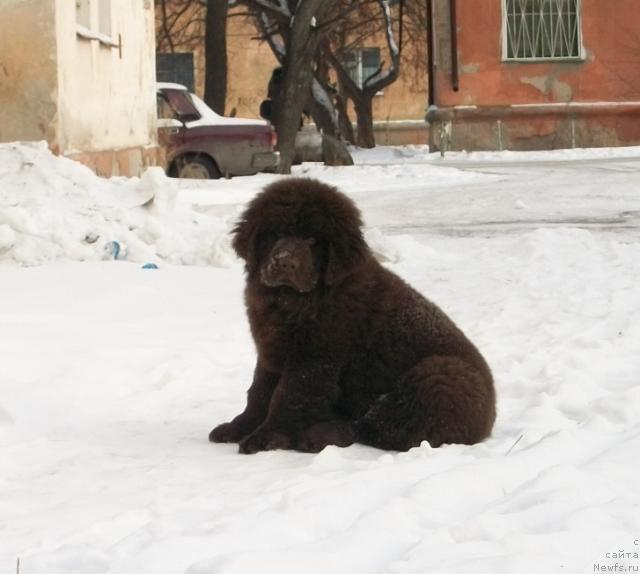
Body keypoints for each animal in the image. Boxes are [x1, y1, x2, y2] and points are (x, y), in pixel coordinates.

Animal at [210, 178, 496, 456]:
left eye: (313, 240)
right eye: (276, 234)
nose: (284, 262)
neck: (295, 301)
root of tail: (490, 419)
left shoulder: (313, 358)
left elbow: (287, 396)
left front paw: (265, 437)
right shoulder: (271, 351)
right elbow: (258, 392)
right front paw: (238, 427)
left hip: (439, 374)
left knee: (380, 427)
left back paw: (319, 436)